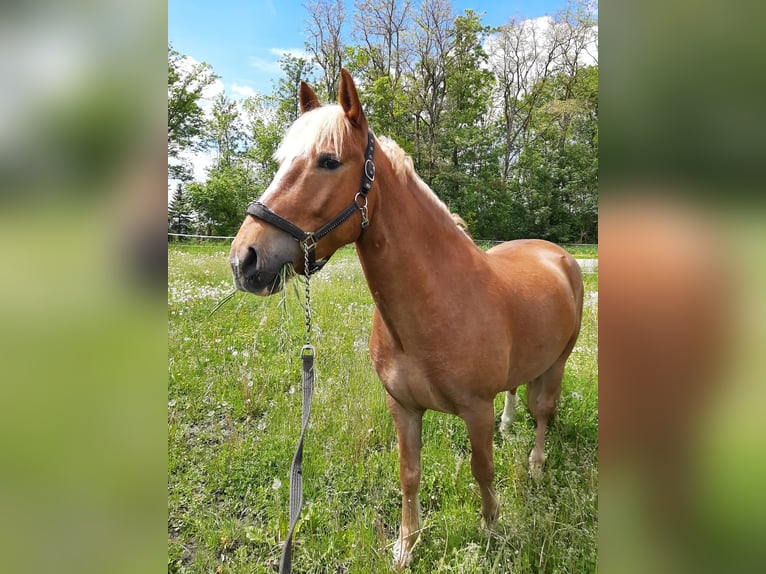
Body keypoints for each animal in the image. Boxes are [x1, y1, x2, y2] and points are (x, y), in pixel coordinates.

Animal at [229, 69, 584, 568]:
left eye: (328, 161)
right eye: (281, 161)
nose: (245, 259)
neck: (434, 304)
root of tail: (556, 255)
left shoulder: (475, 409)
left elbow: (482, 468)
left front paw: (492, 529)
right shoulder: (402, 406)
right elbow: (409, 473)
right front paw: (406, 545)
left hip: (558, 362)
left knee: (543, 412)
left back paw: (535, 465)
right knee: (517, 394)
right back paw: (510, 424)